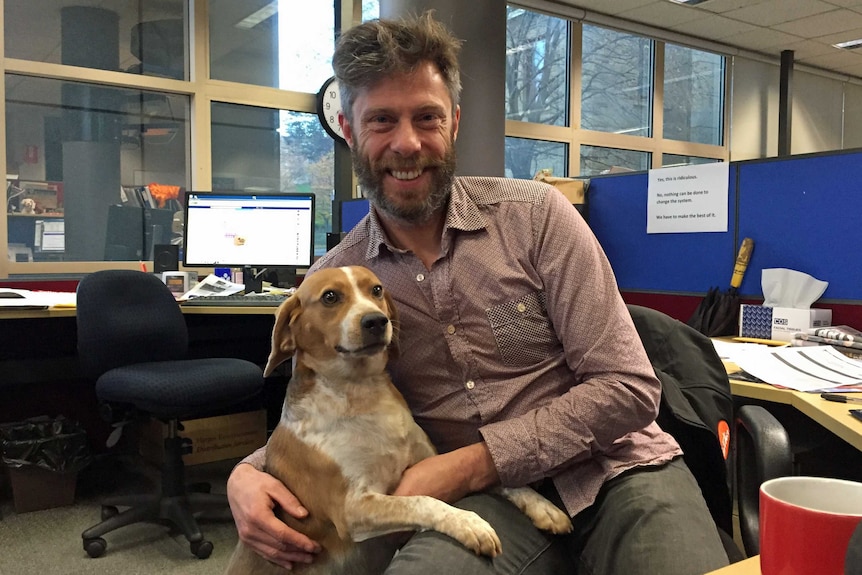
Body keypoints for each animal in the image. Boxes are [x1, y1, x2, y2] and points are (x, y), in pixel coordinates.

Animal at [226, 266, 572, 575]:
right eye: (330, 297)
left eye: (376, 290)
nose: (376, 321)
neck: (362, 394)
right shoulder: (352, 509)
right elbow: (423, 501)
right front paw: (468, 522)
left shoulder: (438, 460)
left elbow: (498, 476)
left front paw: (543, 506)